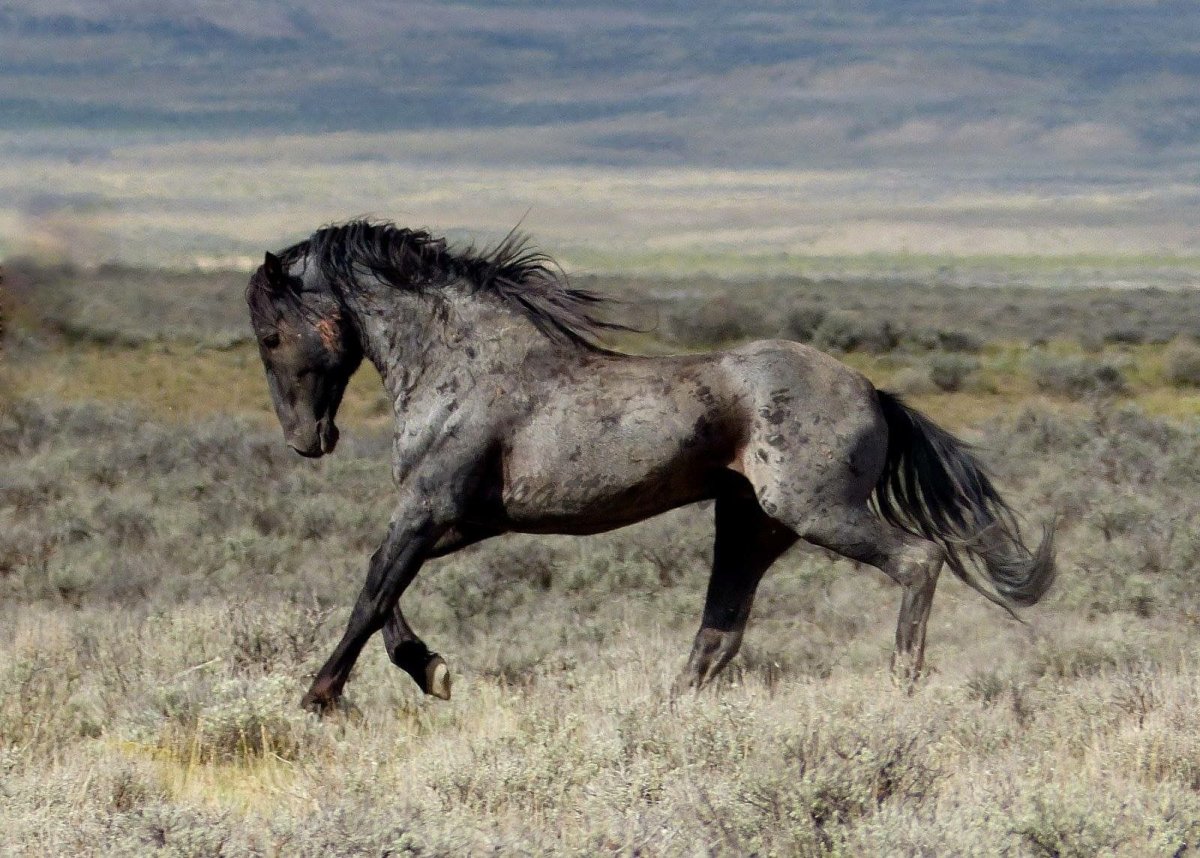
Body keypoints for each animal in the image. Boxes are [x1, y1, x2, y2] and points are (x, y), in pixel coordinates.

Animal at [245, 219, 1055, 712]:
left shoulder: (430, 510)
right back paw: (668, 713)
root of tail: (873, 392)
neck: (462, 366)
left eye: (271, 333)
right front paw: (431, 670)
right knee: (720, 631)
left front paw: (318, 697)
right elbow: (382, 587)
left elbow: (371, 591)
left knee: (919, 560)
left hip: (815, 511)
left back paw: (901, 686)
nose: (307, 439)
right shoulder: (461, 521)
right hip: (751, 527)